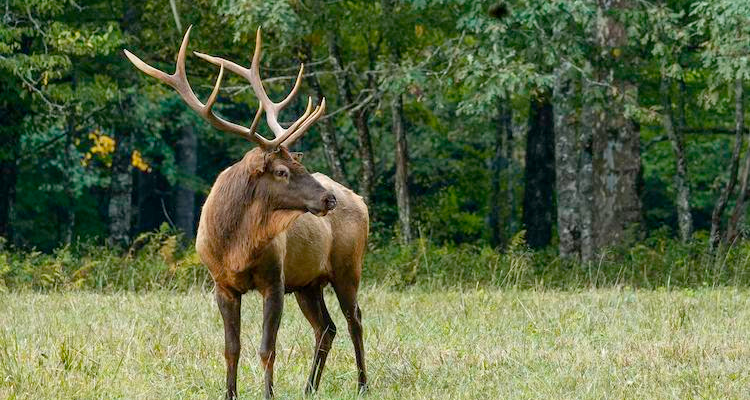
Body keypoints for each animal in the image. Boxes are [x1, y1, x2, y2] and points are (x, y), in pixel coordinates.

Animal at [125, 26, 370, 398]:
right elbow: (232, 348)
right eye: (282, 171)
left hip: (347, 267)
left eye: (298, 163)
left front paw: (268, 393)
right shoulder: (222, 284)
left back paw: (362, 384)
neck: (235, 246)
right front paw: (229, 393)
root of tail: (360, 200)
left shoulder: (275, 279)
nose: (329, 200)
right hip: (308, 282)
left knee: (354, 319)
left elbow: (267, 348)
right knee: (326, 327)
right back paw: (309, 387)